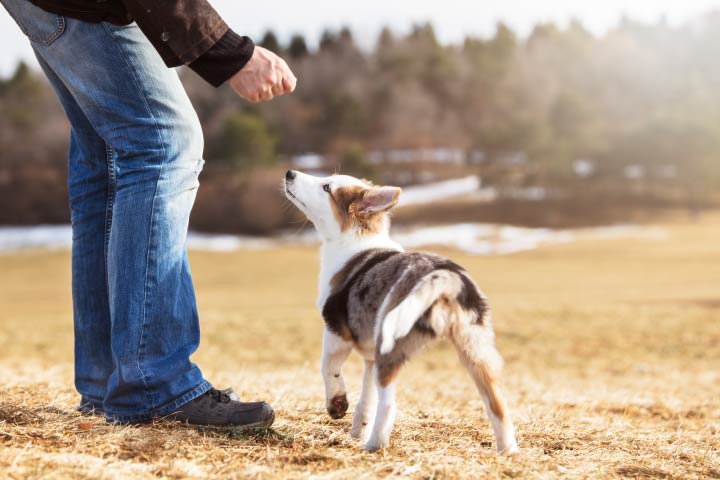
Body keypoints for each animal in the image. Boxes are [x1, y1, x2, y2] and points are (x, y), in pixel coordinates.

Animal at [282, 170, 516, 454]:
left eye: (326, 187)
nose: (289, 173)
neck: (354, 241)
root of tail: (445, 278)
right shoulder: (369, 356)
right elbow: (366, 397)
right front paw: (356, 429)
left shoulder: (336, 332)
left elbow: (328, 368)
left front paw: (337, 405)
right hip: (475, 349)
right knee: (497, 404)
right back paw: (508, 450)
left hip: (390, 347)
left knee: (389, 404)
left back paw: (374, 445)